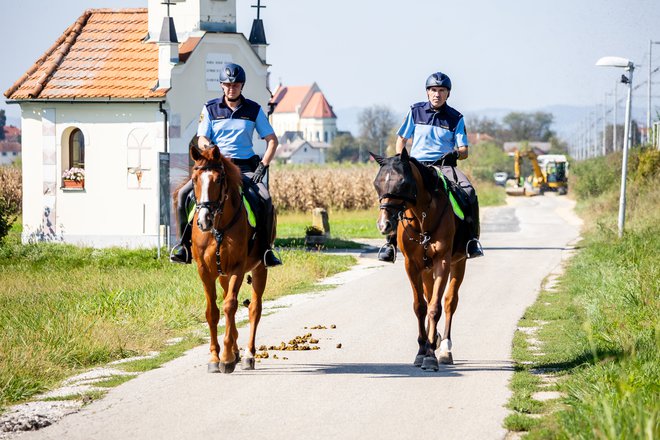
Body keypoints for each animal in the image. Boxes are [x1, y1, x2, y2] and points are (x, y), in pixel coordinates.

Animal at [184, 144, 272, 374]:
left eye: (218, 180)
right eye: (195, 179)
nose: (203, 221)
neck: (219, 227)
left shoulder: (237, 268)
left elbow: (230, 306)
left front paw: (225, 358)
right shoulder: (205, 271)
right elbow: (213, 312)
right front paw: (215, 358)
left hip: (259, 269)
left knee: (254, 309)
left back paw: (248, 355)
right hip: (222, 274)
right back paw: (235, 350)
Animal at [372, 149, 470, 372]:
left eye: (403, 183)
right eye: (377, 183)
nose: (384, 225)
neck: (423, 216)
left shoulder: (442, 262)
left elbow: (435, 307)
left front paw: (431, 356)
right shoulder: (412, 265)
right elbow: (420, 307)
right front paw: (421, 350)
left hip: (458, 263)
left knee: (449, 302)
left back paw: (444, 349)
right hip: (426, 270)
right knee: (428, 295)